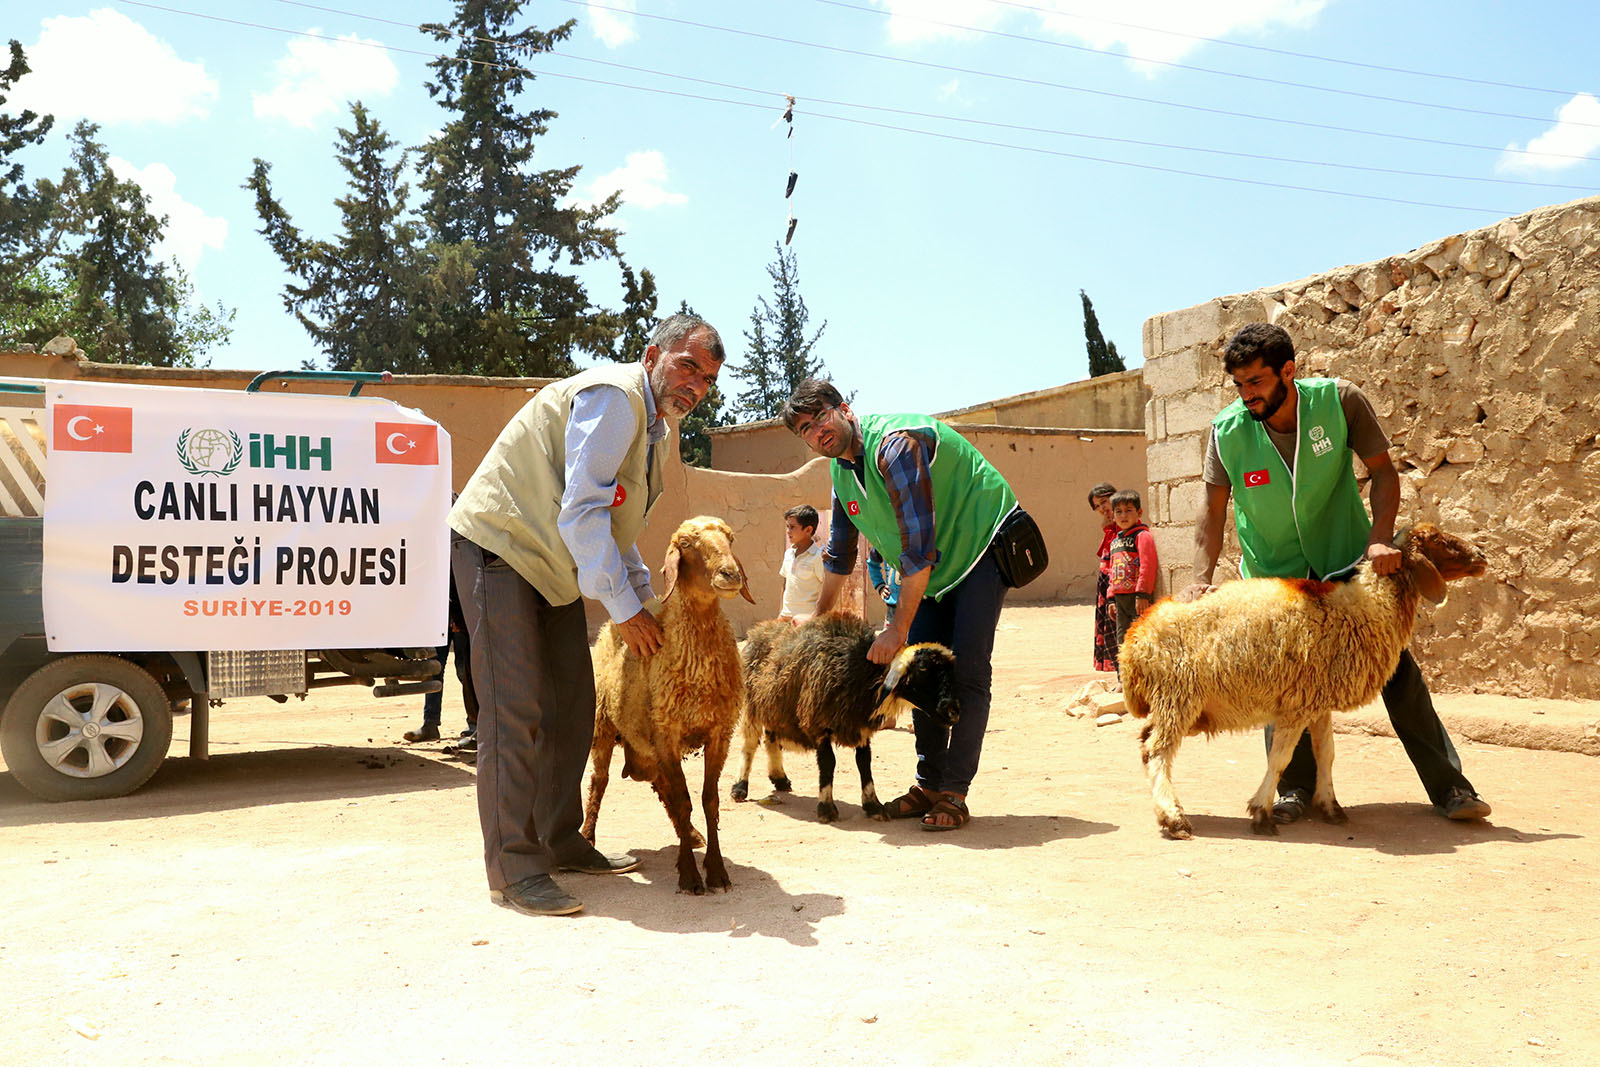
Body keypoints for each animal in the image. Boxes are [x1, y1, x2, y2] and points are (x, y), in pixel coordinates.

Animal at [585, 518, 752, 895]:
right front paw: (690, 876)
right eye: (686, 544)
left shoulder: (718, 733)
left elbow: (707, 801)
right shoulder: (668, 732)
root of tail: (607, 626)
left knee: (661, 785)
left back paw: (688, 834)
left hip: (647, 742)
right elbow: (684, 799)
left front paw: (715, 870)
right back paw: (587, 837)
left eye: (731, 538)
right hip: (603, 723)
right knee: (600, 781)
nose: (730, 574)